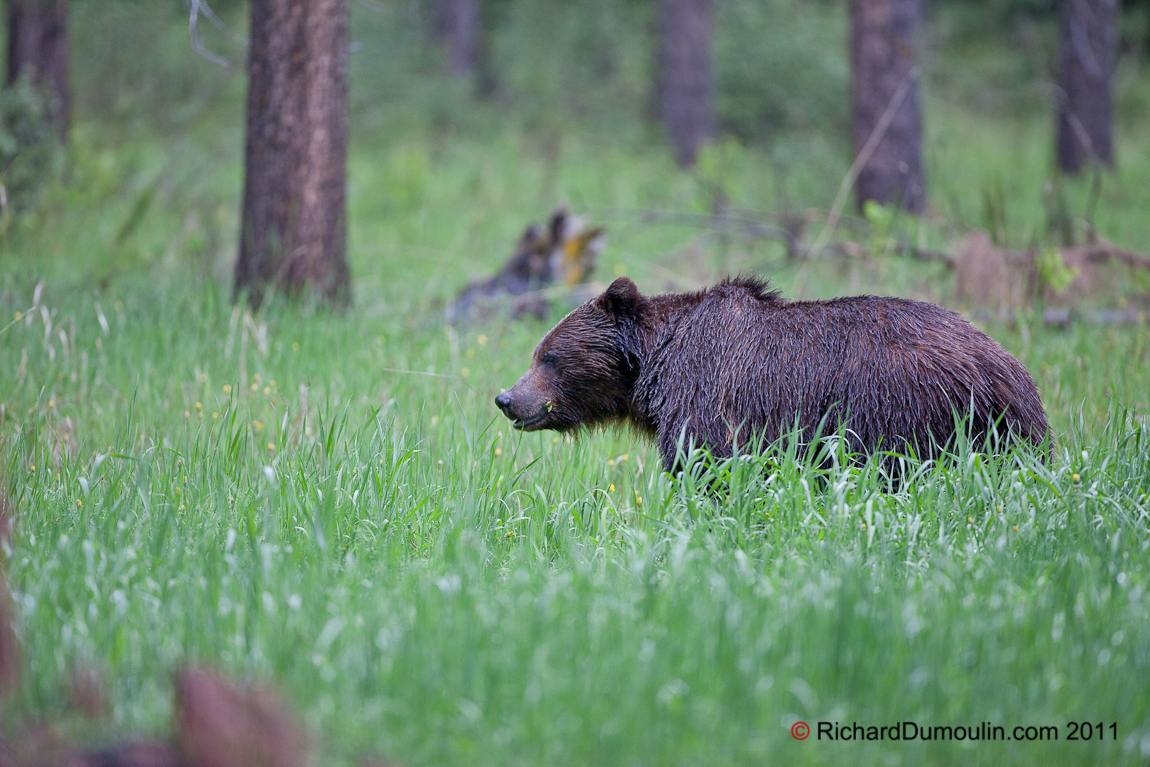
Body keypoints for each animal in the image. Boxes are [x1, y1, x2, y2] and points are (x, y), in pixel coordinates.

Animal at [494, 275, 1053, 469]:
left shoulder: (709, 395)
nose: (507, 399)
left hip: (905, 408)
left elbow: (708, 465)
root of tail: (1008, 368)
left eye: (549, 357)